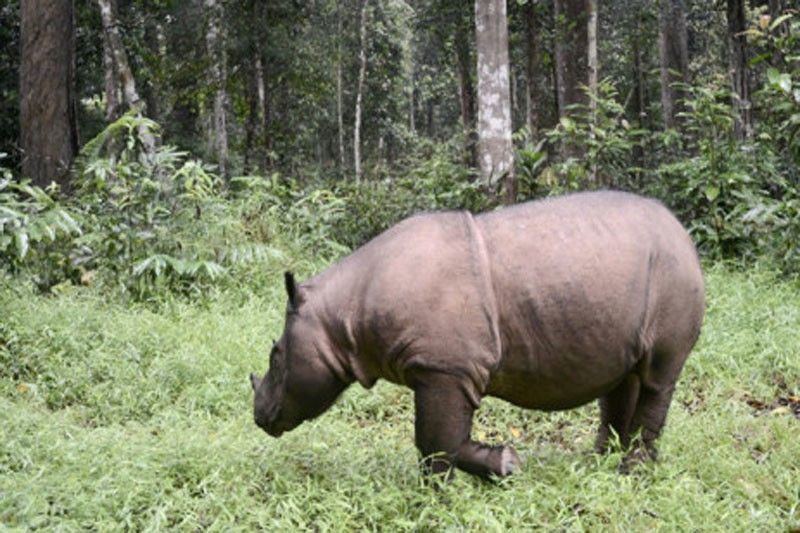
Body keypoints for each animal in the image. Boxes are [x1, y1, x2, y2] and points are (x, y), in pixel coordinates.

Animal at [248, 191, 700, 478]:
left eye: (275, 355)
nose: (258, 416)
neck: (340, 317)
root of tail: (684, 234)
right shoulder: (450, 368)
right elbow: (446, 438)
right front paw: (505, 464)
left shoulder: (444, 368)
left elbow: (433, 441)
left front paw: (438, 493)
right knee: (624, 376)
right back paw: (601, 463)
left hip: (674, 272)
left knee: (658, 377)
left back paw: (631, 473)